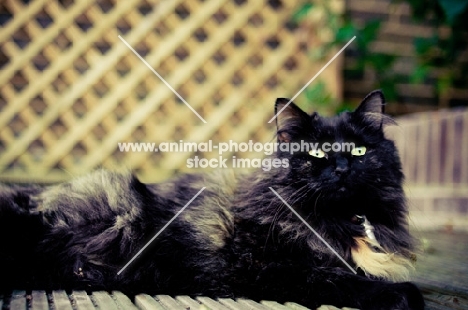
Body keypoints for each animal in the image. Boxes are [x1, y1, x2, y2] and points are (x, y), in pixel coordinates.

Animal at [0, 90, 424, 310]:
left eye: (358, 150)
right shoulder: (270, 267)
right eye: (317, 153)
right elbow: (345, 280)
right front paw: (400, 294)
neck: (337, 220)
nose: (342, 169)